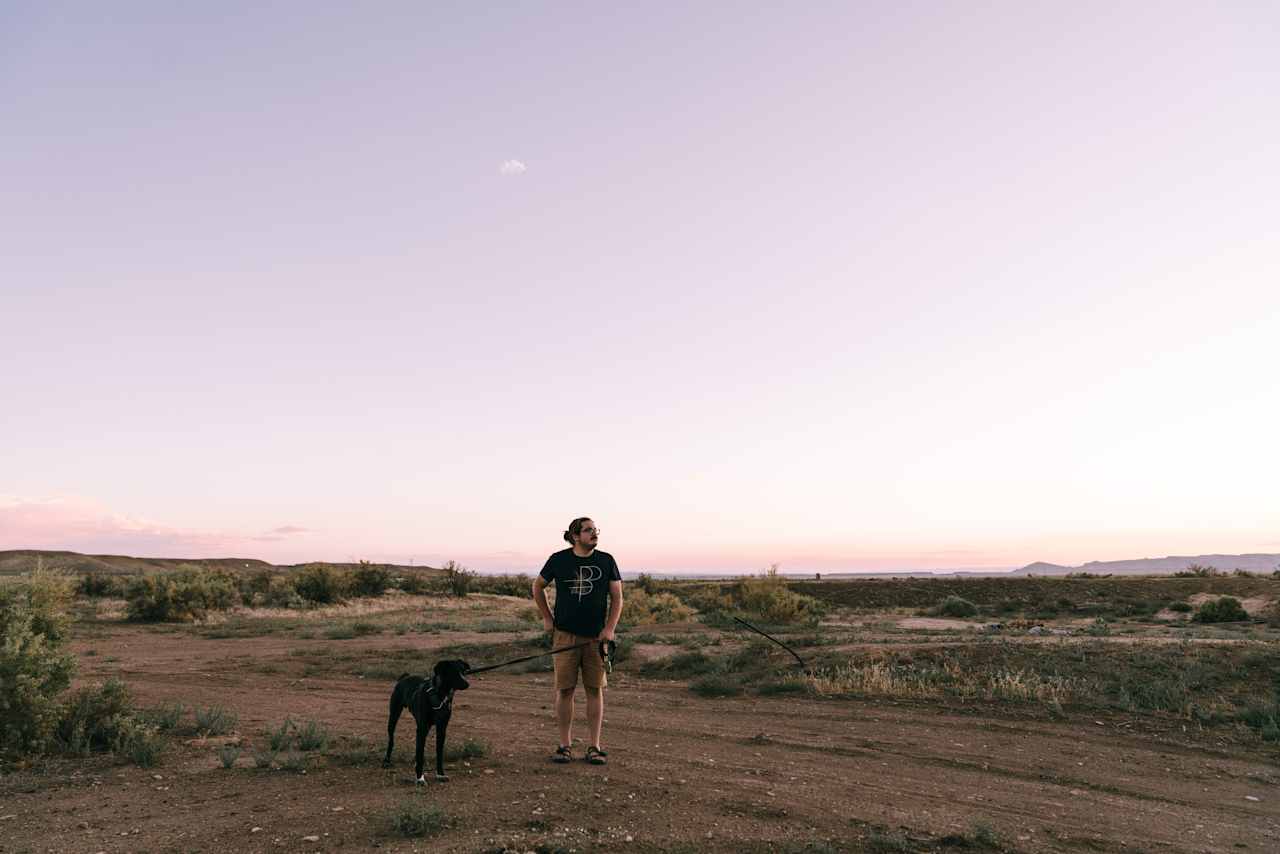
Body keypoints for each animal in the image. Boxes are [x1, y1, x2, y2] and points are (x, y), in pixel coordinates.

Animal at [384, 660, 476, 788]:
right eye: (453, 672)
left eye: (463, 671)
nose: (467, 684)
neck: (439, 696)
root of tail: (405, 677)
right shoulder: (422, 728)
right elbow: (420, 754)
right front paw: (420, 778)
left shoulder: (442, 728)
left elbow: (439, 753)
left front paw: (440, 774)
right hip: (394, 716)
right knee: (391, 740)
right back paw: (387, 760)